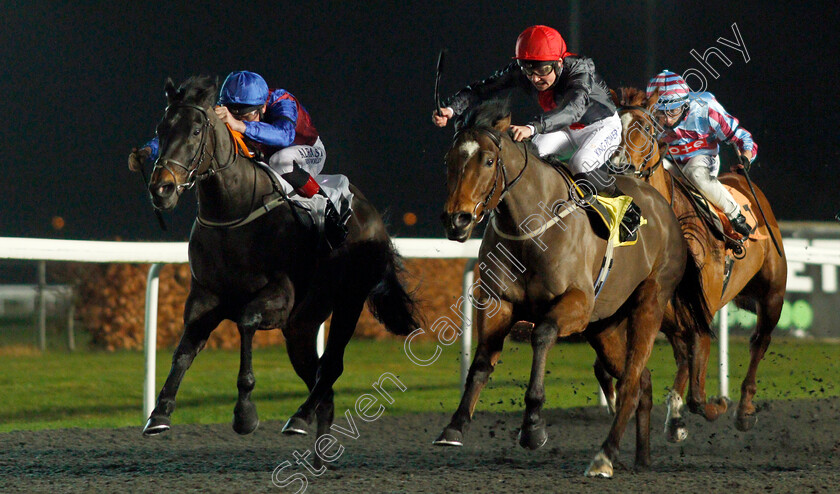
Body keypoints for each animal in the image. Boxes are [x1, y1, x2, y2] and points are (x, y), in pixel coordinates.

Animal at [143, 75, 426, 446]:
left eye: (195, 131)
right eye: (161, 129)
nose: (161, 189)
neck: (234, 213)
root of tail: (374, 218)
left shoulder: (280, 296)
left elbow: (246, 321)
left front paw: (245, 413)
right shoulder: (204, 297)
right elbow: (184, 351)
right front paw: (160, 412)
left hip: (348, 301)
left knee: (331, 366)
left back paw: (300, 416)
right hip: (302, 325)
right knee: (320, 381)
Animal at [436, 101, 712, 478]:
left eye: (489, 161)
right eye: (450, 160)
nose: (457, 220)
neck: (530, 229)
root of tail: (665, 208)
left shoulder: (578, 304)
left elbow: (542, 334)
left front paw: (533, 425)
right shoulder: (498, 302)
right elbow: (480, 363)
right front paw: (455, 425)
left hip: (650, 303)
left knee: (631, 382)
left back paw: (605, 456)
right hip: (605, 326)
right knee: (642, 380)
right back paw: (641, 456)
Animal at [612, 88, 788, 440]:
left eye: (645, 128)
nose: (620, 166)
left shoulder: (701, 314)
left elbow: (698, 391)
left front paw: (718, 405)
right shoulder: (667, 313)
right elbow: (684, 369)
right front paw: (677, 417)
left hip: (773, 295)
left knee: (759, 342)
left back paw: (744, 410)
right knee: (687, 358)